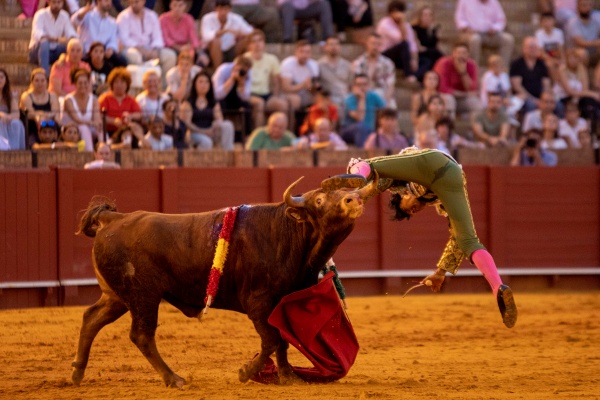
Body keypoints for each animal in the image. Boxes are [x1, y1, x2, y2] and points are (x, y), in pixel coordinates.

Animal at [71, 174, 379, 388]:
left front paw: (288, 377)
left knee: (91, 319)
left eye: (347, 191)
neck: (289, 233)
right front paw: (245, 372)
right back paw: (174, 379)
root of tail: (112, 218)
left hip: (117, 296)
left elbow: (282, 341)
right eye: (319, 201)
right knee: (141, 335)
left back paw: (76, 373)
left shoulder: (279, 302)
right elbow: (271, 340)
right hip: (143, 296)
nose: (353, 200)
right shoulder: (258, 303)